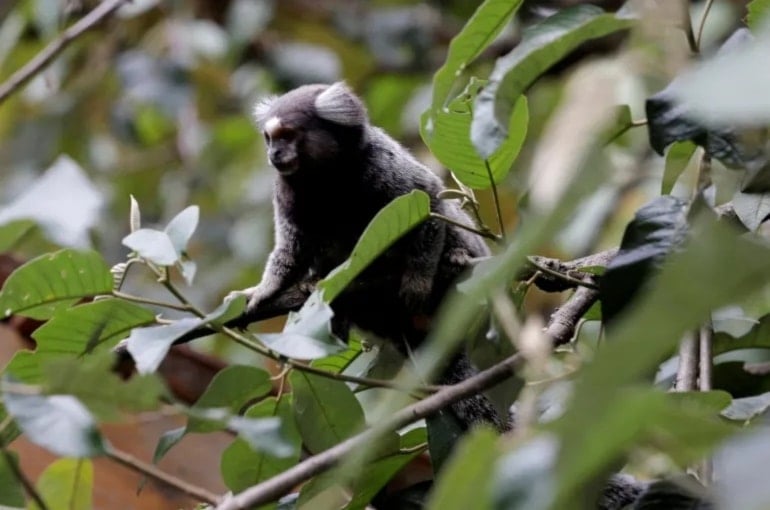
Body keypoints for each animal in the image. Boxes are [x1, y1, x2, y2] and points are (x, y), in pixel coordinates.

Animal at [246, 81, 508, 432]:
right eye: (269, 138)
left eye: (287, 135)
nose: (273, 154)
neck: (324, 179)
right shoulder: (286, 193)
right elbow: (291, 248)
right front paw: (266, 289)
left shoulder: (386, 165)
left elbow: (429, 202)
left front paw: (418, 280)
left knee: (450, 217)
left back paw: (455, 257)